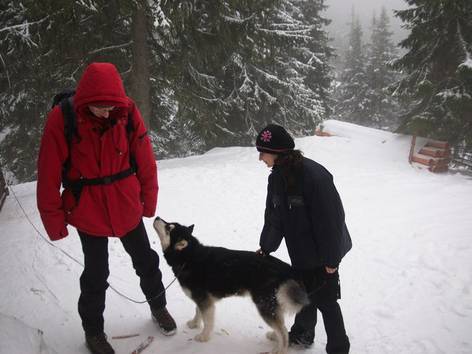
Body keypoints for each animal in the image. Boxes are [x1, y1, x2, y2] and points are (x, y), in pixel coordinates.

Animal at [152, 216, 310, 354]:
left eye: (169, 227)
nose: (157, 217)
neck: (189, 257)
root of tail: (285, 267)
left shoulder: (204, 300)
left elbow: (208, 321)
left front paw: (203, 336)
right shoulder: (201, 298)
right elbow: (197, 311)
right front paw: (194, 324)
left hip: (263, 304)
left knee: (283, 331)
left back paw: (280, 349)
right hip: (271, 303)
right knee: (281, 326)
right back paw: (274, 336)